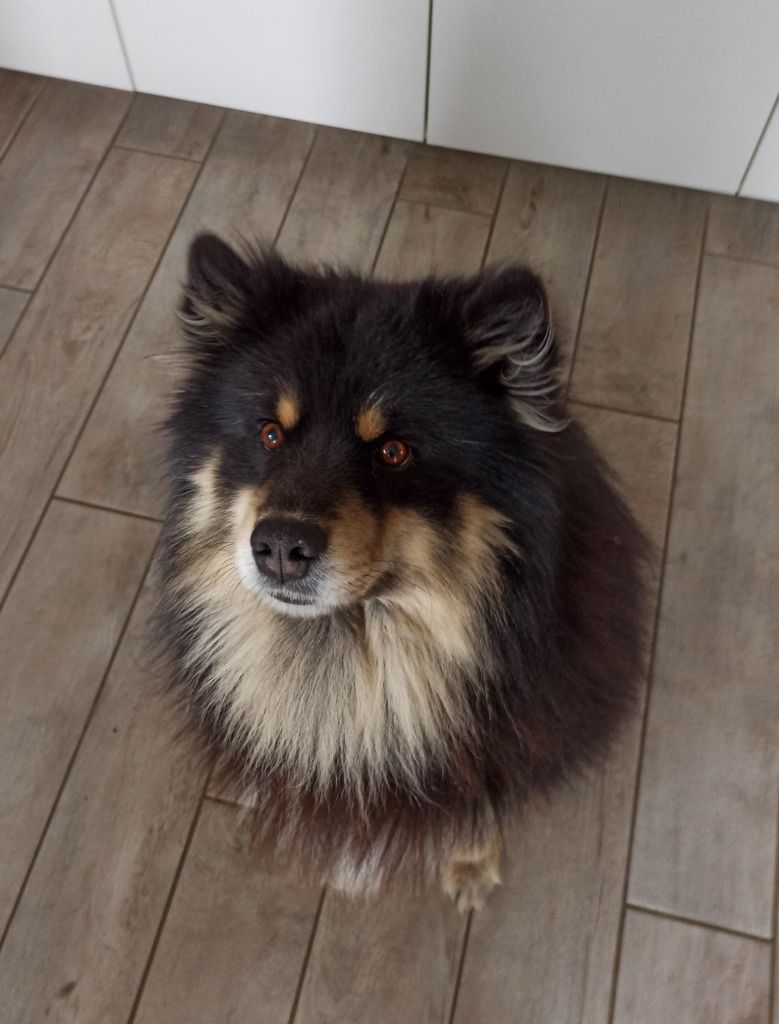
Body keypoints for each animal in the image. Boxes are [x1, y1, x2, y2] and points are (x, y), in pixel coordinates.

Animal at [155, 232, 648, 911]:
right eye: (270, 434)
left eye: (393, 451)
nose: (279, 546)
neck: (355, 650)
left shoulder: (490, 747)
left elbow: (472, 806)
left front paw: (470, 864)